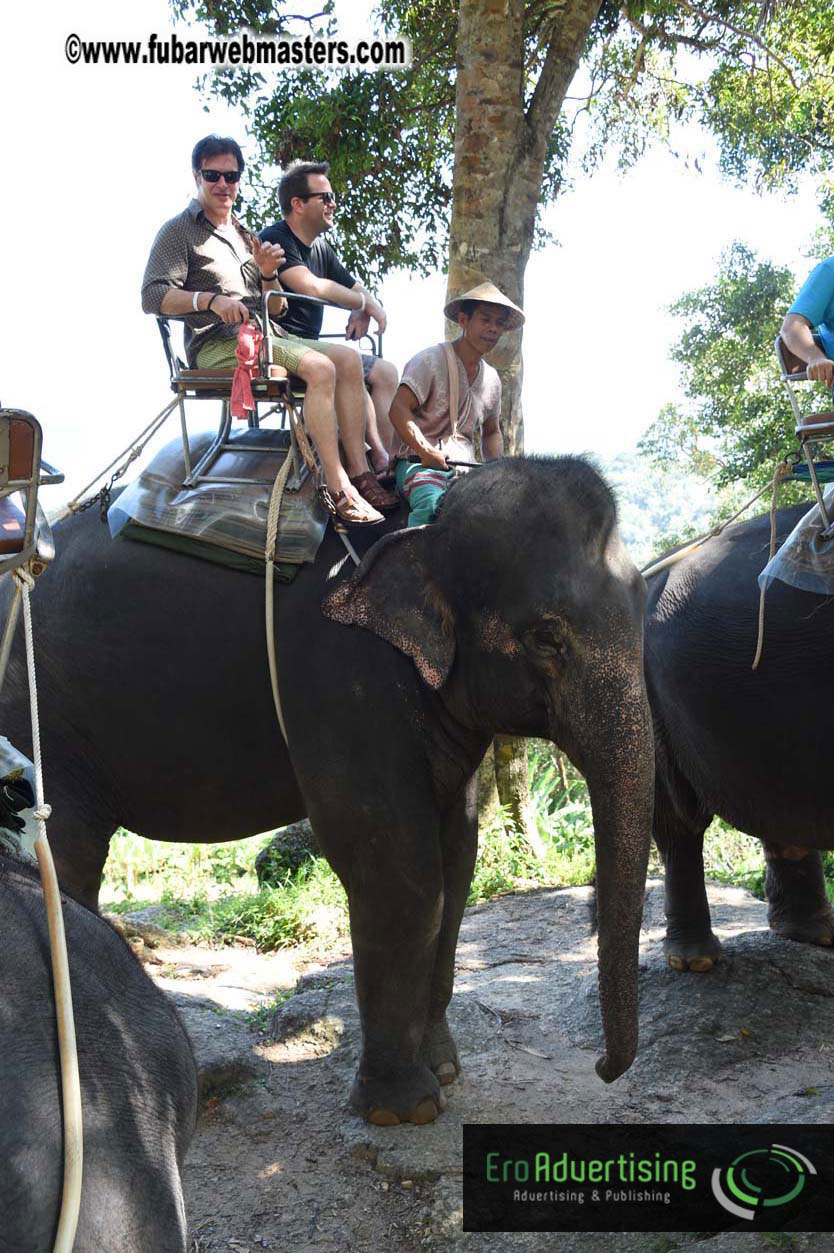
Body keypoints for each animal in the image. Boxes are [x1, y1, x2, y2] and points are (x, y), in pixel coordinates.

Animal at [0, 455, 654, 1125]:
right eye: (547, 638)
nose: (602, 1070)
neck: (430, 519)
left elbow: (457, 863)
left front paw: (444, 1071)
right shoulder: (339, 675)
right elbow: (399, 869)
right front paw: (404, 1110)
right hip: (36, 714)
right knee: (65, 852)